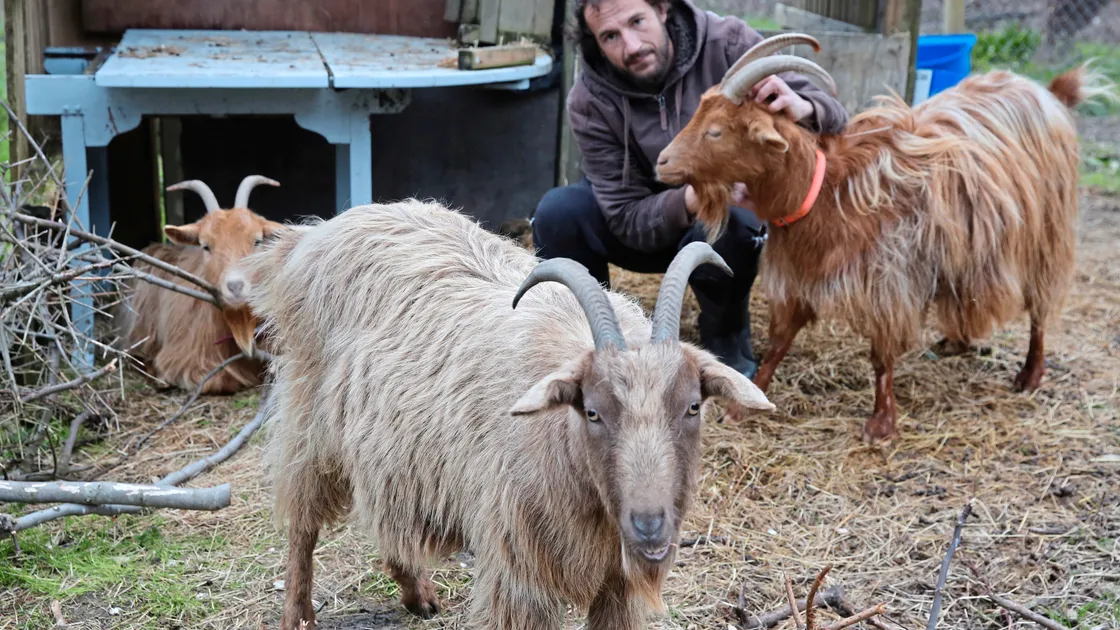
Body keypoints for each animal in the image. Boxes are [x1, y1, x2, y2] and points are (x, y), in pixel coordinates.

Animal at [237, 199, 775, 629]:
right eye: (592, 412)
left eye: (692, 406)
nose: (649, 525)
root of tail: (312, 233)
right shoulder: (519, 576)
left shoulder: (616, 586)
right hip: (309, 419)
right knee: (301, 522)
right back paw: (298, 615)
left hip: (388, 448)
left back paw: (418, 594)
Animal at [655, 33, 1114, 442]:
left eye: (716, 131)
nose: (661, 162)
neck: (826, 193)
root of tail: (1047, 93)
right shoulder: (800, 275)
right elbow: (780, 341)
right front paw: (745, 402)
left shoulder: (887, 282)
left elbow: (881, 357)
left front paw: (881, 425)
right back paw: (956, 341)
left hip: (1045, 233)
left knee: (1039, 307)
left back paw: (1030, 374)